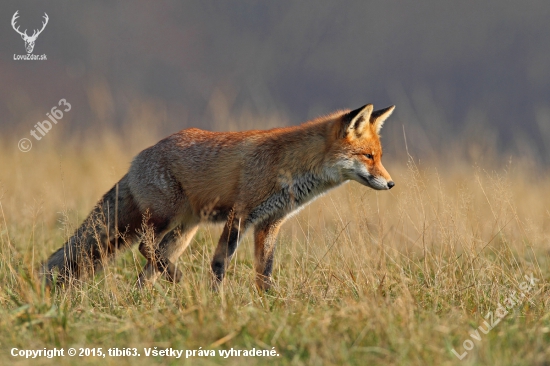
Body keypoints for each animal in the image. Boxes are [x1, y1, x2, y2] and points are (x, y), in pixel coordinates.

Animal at [43, 104, 396, 290]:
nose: (391, 184)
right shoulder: (241, 213)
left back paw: (145, 299)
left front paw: (270, 304)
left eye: (379, 157)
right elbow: (219, 263)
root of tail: (136, 160)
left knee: (150, 265)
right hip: (166, 217)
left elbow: (264, 271)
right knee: (146, 247)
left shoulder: (270, 222)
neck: (291, 167)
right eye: (368, 156)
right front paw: (216, 299)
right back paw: (176, 282)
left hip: (184, 232)